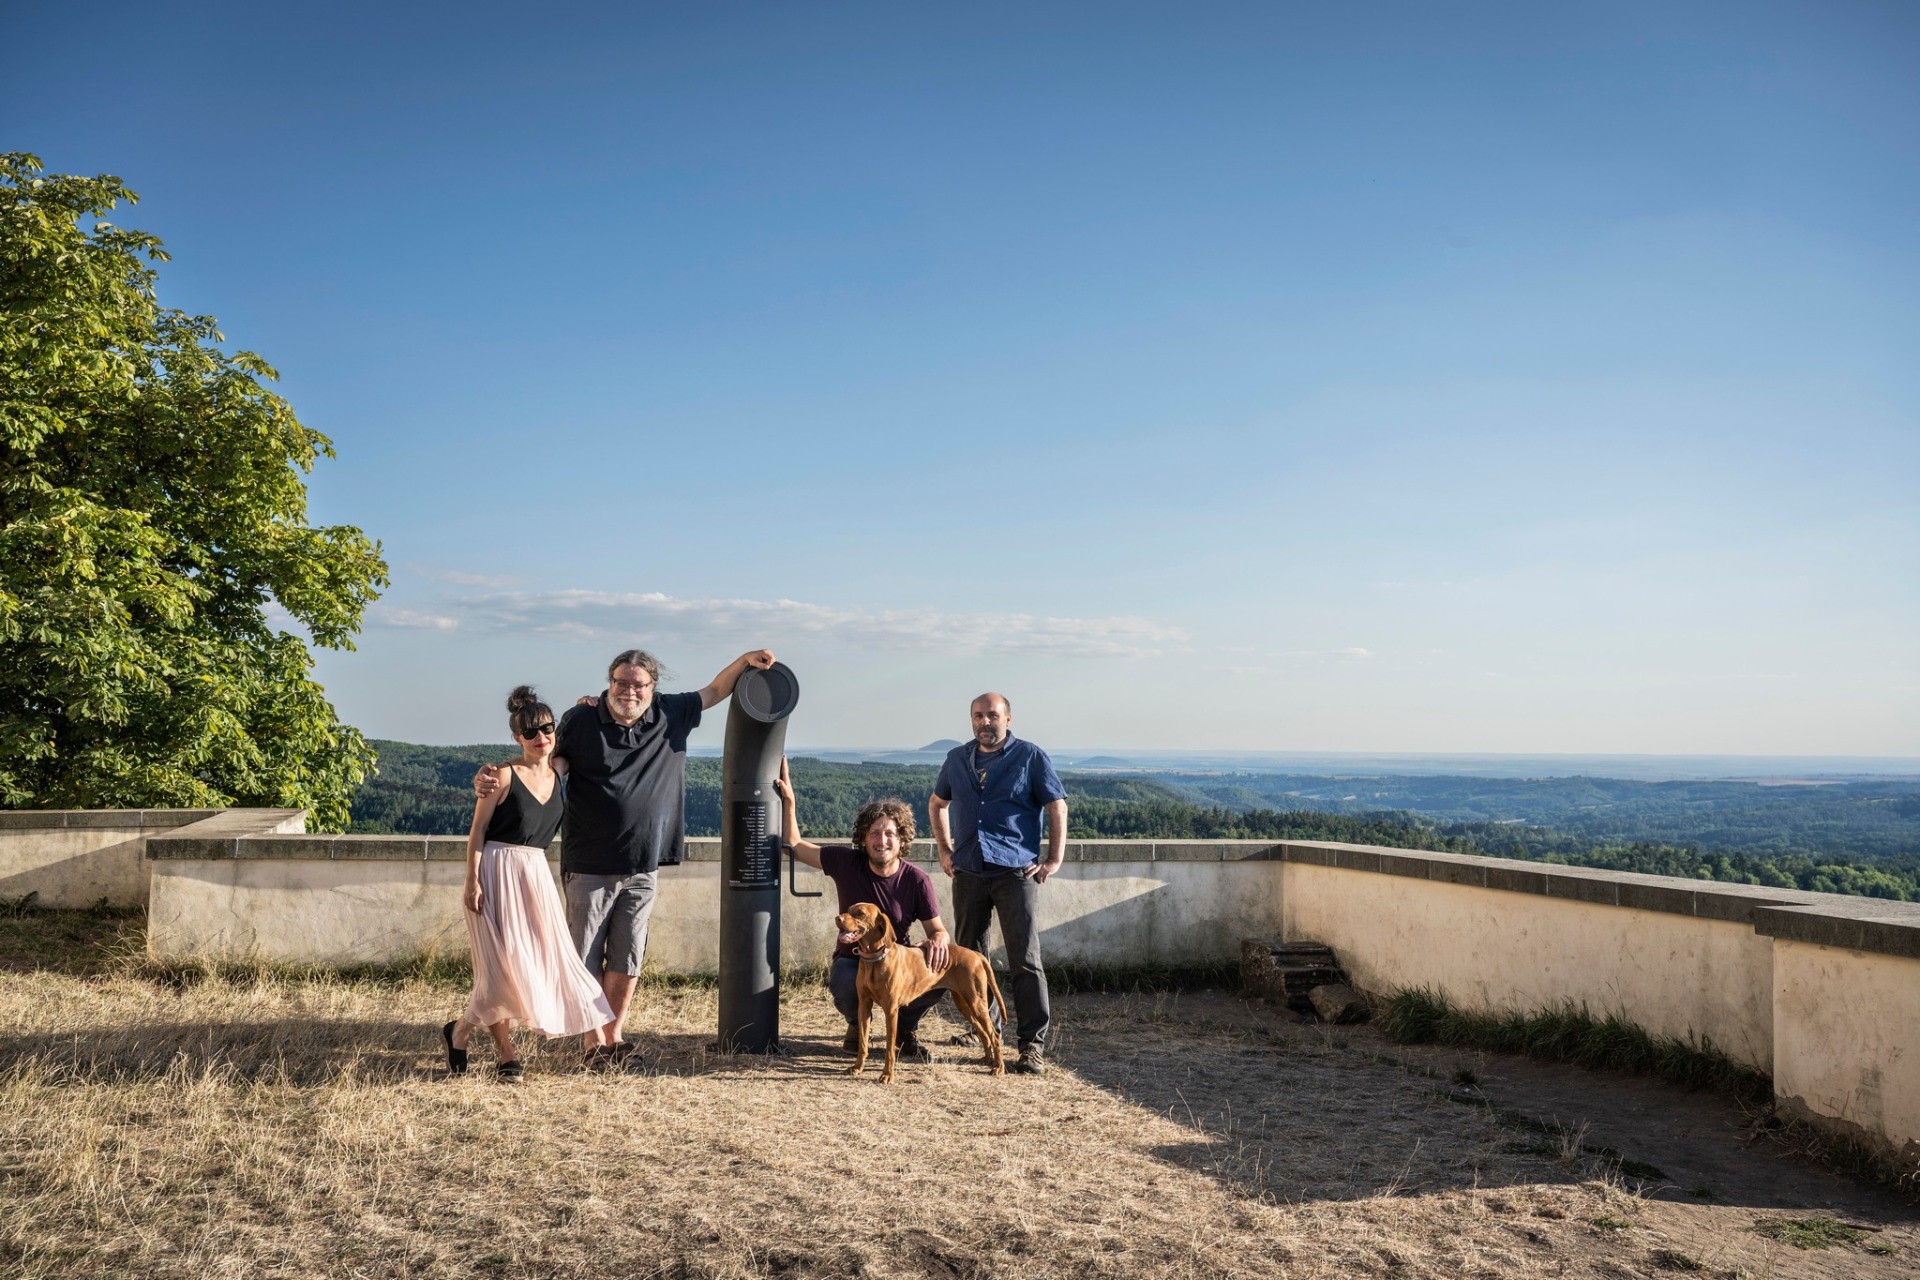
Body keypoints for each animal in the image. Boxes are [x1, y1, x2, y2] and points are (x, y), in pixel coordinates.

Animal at [844, 901, 1013, 1082]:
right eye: (848, 911)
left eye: (860, 913)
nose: (837, 918)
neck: (875, 959)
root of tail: (976, 954)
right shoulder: (864, 1006)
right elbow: (862, 1042)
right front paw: (857, 1067)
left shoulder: (890, 1010)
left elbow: (889, 1047)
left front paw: (887, 1075)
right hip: (965, 1005)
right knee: (984, 1033)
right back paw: (988, 1059)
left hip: (976, 1003)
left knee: (994, 1036)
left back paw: (998, 1067)